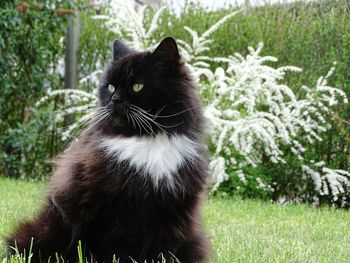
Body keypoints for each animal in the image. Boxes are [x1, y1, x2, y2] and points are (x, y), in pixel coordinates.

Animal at [6, 37, 211, 263]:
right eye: (111, 87)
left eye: (137, 86)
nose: (115, 100)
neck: (146, 139)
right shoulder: (107, 211)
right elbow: (115, 250)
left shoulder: (171, 213)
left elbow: (162, 251)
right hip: (45, 229)